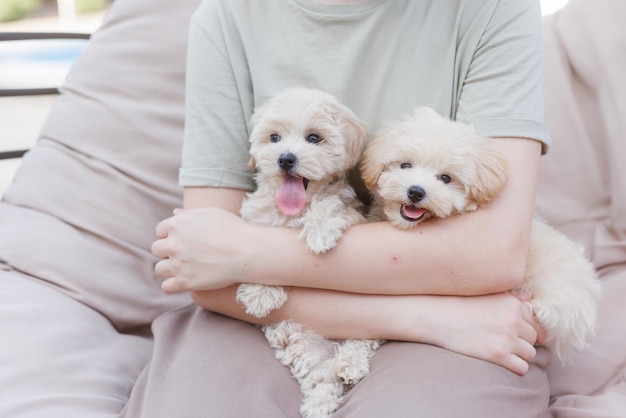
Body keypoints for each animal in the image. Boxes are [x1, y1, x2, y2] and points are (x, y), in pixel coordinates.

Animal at [235, 86, 378, 416]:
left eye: (314, 138)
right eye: (274, 137)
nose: (286, 159)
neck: (294, 209)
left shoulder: (351, 210)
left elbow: (330, 205)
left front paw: (320, 230)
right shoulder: (255, 221)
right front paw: (261, 293)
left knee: (361, 341)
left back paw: (349, 363)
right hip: (302, 343)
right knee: (322, 378)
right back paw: (319, 402)